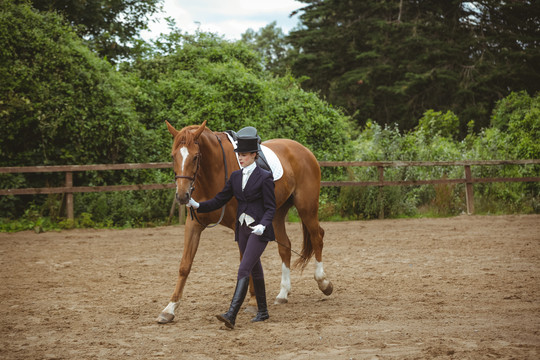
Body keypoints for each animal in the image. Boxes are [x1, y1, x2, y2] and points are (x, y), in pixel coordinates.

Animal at [157, 120, 334, 324]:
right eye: (173, 156)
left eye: (195, 157)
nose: (182, 196)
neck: (214, 171)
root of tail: (303, 150)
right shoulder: (194, 225)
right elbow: (185, 265)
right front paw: (169, 309)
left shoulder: (241, 226)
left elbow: (246, 262)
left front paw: (252, 302)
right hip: (277, 214)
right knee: (285, 247)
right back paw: (283, 293)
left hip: (306, 208)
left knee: (317, 237)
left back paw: (323, 282)